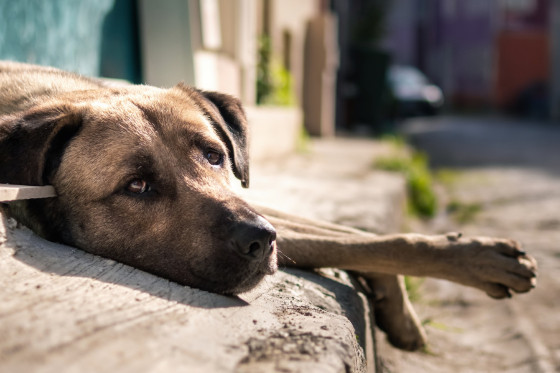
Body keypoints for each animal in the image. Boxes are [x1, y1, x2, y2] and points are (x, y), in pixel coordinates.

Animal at [0, 61, 536, 348]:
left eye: (214, 155)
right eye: (136, 185)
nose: (261, 240)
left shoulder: (253, 201)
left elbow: (356, 236)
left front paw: (456, 265)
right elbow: (353, 241)